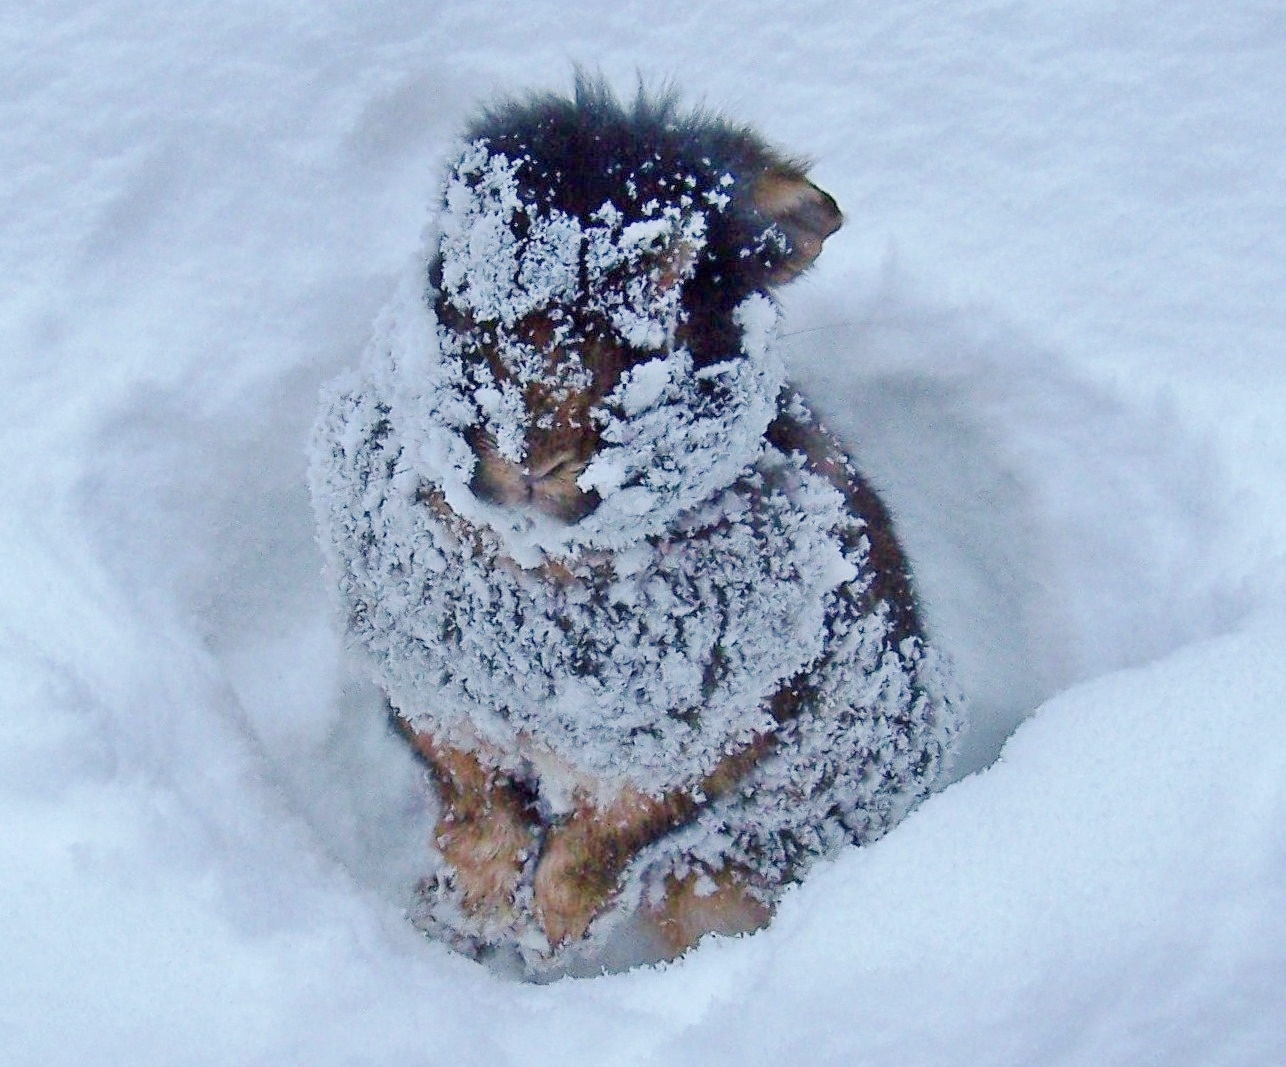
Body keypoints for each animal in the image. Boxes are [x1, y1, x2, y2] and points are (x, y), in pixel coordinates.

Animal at [308, 77, 956, 977]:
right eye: (459, 288)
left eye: (667, 310)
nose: (533, 450)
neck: (544, 559)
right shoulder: (442, 714)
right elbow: (477, 811)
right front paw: (465, 915)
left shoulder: (711, 745)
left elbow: (600, 847)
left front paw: (547, 936)